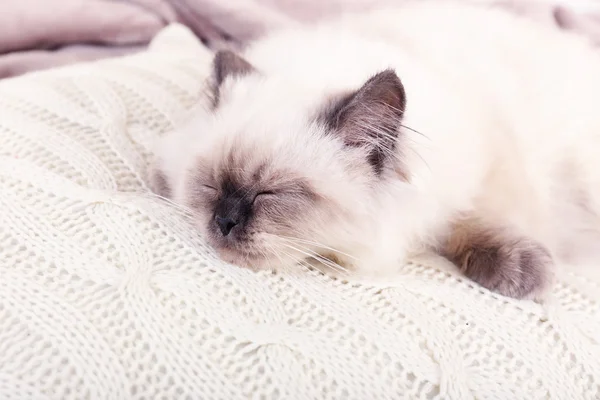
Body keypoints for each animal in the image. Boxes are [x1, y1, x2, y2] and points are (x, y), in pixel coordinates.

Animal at [150, 0, 600, 300]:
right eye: (210, 186)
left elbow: (475, 217)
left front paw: (523, 274)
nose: (223, 221)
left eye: (269, 194)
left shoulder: (493, 163)